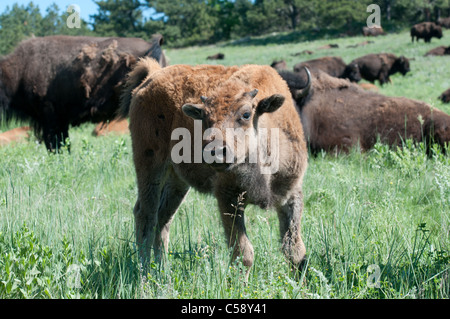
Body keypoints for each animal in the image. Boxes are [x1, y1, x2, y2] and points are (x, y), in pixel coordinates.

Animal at [118, 57, 312, 280]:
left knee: (163, 218)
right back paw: (144, 274)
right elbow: (243, 253)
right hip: (150, 166)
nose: (215, 151)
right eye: (205, 118)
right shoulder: (228, 198)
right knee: (146, 214)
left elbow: (294, 249)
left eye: (246, 114)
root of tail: (151, 78)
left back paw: (162, 271)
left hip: (177, 181)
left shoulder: (291, 195)